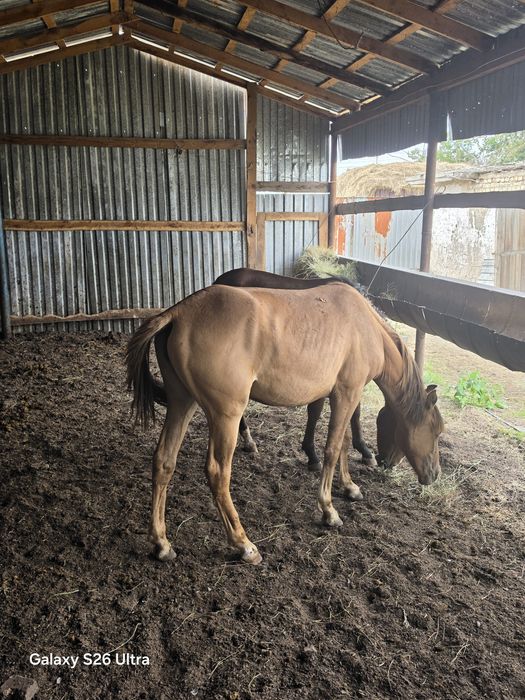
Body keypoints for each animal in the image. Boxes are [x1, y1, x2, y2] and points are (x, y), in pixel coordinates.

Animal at [127, 283, 443, 565]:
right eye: (437, 431)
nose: (434, 474)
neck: (365, 327)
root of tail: (180, 312)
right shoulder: (347, 393)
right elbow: (332, 449)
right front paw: (329, 510)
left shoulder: (340, 396)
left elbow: (342, 443)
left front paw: (349, 487)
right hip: (226, 415)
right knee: (217, 473)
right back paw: (244, 544)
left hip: (182, 403)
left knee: (164, 461)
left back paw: (162, 543)